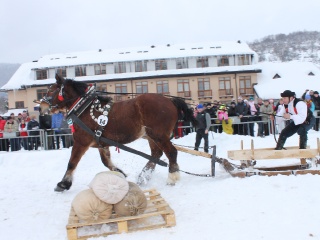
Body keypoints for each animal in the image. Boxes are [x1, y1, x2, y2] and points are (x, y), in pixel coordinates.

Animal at [40, 75, 198, 191]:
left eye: (51, 90)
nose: (41, 106)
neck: (83, 107)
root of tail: (170, 101)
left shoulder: (81, 141)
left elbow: (72, 162)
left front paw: (63, 183)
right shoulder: (101, 143)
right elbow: (106, 162)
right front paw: (120, 173)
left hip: (158, 135)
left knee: (171, 152)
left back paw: (172, 177)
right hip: (151, 136)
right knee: (156, 154)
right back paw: (143, 176)